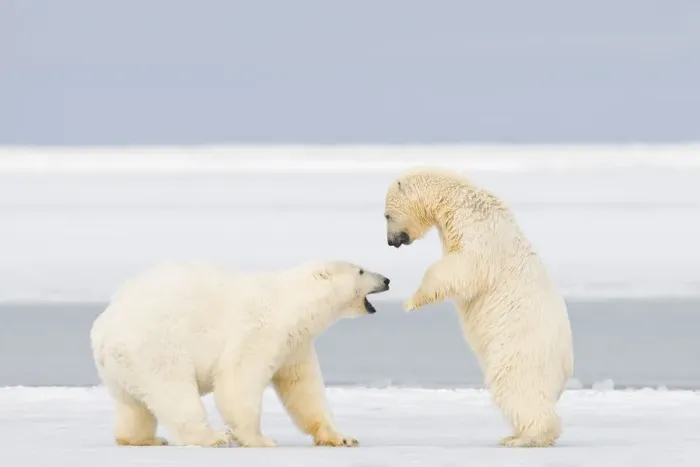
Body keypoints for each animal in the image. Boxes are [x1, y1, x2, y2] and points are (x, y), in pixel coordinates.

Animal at [90, 260, 390, 448]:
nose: (387, 279)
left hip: (122, 368)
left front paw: (342, 437)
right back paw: (213, 437)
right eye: (361, 270)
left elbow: (303, 389)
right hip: (156, 349)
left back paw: (143, 439)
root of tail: (102, 332)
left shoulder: (296, 345)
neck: (291, 304)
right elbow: (238, 380)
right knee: (175, 393)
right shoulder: (259, 329)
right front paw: (260, 439)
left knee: (133, 407)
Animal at [383, 167, 574, 448]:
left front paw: (410, 302)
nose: (391, 241)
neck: (456, 200)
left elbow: (464, 266)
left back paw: (527, 437)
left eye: (386, 215)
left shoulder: (478, 230)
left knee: (516, 386)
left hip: (521, 349)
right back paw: (512, 434)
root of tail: (566, 364)